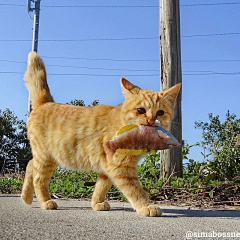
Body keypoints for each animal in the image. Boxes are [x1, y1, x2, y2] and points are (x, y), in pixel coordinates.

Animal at [22, 52, 180, 218]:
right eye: (141, 110)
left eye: (160, 113)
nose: (151, 120)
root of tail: (45, 103)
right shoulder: (120, 167)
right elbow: (135, 190)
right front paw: (146, 206)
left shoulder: (108, 168)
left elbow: (101, 187)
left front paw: (96, 203)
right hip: (46, 157)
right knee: (38, 178)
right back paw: (45, 202)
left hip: (50, 157)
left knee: (30, 165)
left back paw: (26, 197)